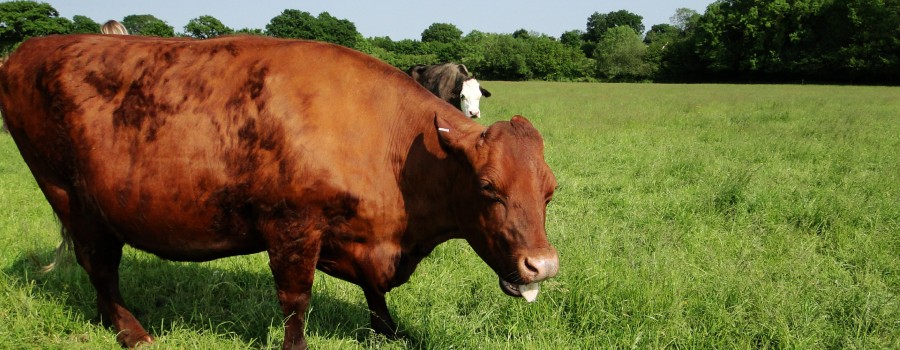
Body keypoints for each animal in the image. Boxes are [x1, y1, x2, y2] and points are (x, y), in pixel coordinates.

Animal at [0, 35, 560, 350]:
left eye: (550, 191)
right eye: (487, 187)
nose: (543, 266)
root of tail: (29, 49)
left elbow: (375, 293)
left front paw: (391, 332)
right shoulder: (292, 226)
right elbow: (296, 300)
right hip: (70, 198)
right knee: (100, 266)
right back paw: (131, 333)